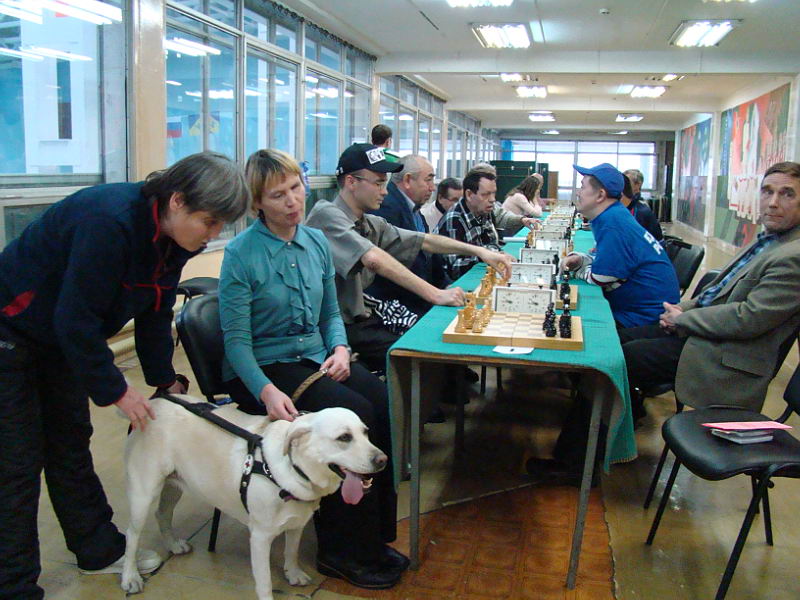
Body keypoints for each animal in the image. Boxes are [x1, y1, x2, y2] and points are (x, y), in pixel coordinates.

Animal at [119, 396, 388, 596]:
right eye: (344, 437)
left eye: (365, 432)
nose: (382, 460)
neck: (292, 470)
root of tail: (153, 402)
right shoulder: (259, 538)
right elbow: (265, 582)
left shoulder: (297, 524)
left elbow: (291, 551)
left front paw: (293, 574)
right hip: (144, 492)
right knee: (132, 535)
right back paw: (130, 576)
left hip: (176, 484)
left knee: (162, 513)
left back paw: (173, 544)